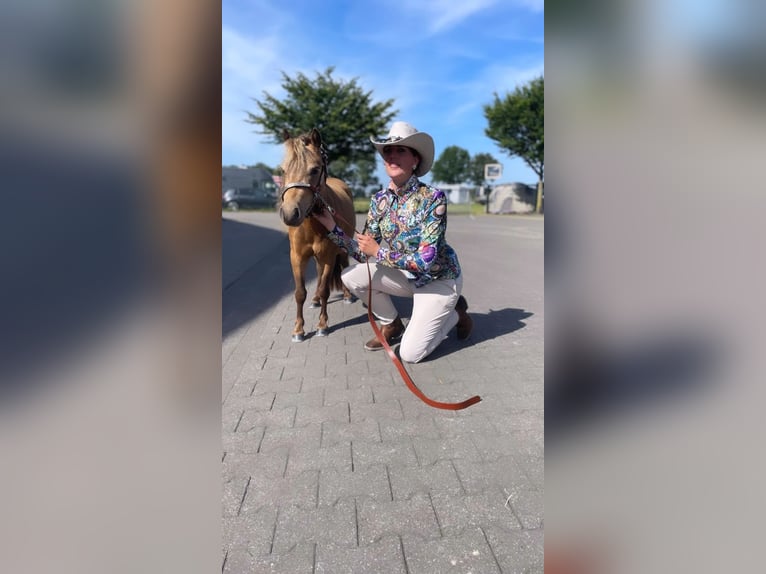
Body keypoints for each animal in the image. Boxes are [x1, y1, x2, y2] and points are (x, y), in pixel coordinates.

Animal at [280, 127, 356, 342]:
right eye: (283, 170)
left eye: (314, 170)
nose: (290, 213)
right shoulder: (297, 257)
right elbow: (300, 292)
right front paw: (298, 330)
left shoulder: (330, 256)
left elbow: (325, 290)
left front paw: (322, 325)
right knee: (319, 272)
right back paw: (314, 300)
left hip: (341, 250)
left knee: (342, 267)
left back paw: (347, 295)